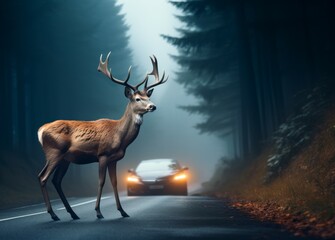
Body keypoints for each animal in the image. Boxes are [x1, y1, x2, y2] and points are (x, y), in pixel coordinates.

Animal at [37, 52, 168, 221]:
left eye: (149, 97)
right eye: (138, 99)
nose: (153, 106)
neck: (119, 136)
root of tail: (40, 130)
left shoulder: (114, 159)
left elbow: (114, 182)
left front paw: (123, 211)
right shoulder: (103, 154)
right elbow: (101, 182)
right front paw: (98, 212)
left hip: (65, 158)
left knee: (56, 180)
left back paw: (73, 214)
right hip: (54, 152)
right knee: (43, 177)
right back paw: (53, 214)